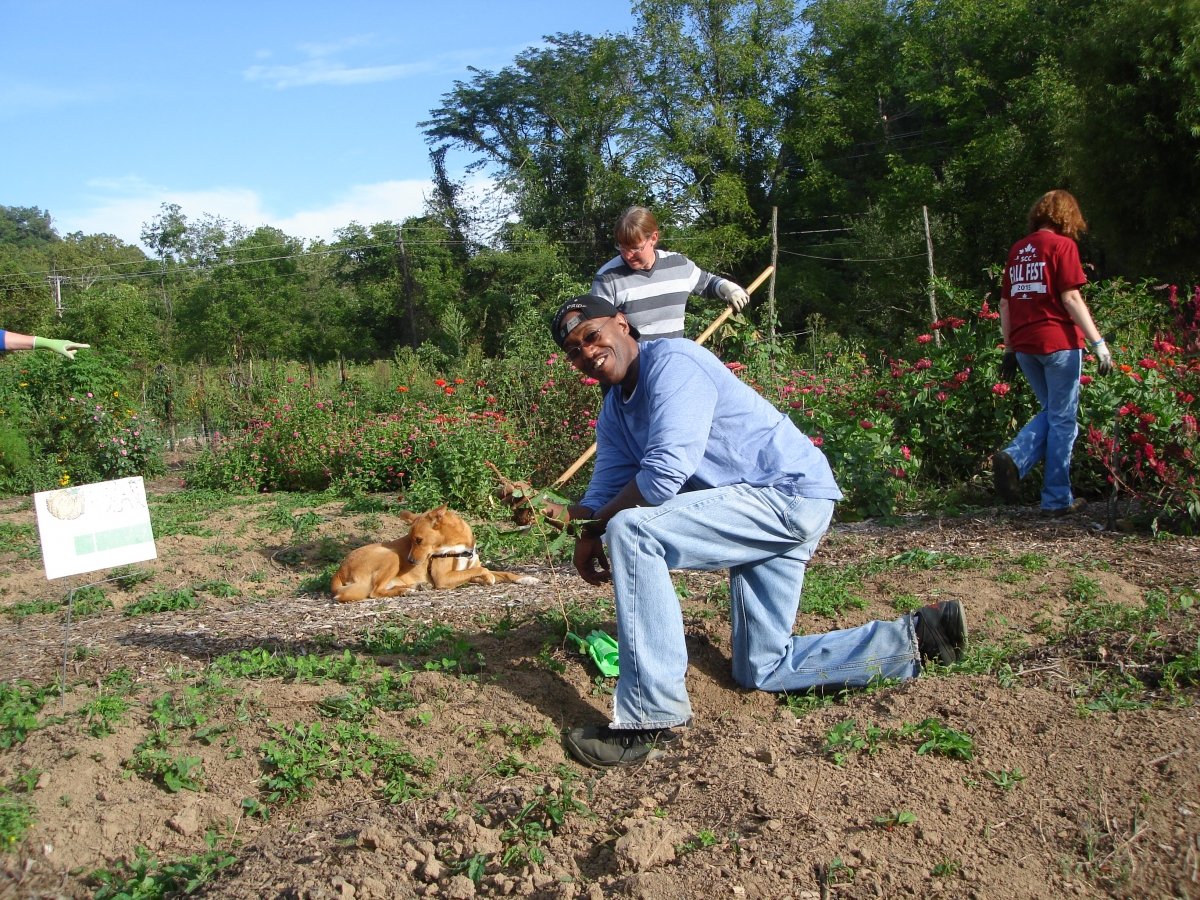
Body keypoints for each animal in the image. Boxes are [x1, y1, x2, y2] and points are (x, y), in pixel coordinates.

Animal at [328, 504, 535, 602]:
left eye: (418, 540)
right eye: (410, 539)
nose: (410, 561)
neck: (460, 546)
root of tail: (339, 570)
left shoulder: (467, 569)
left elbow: (502, 572)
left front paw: (526, 578)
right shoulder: (443, 578)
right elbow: (484, 570)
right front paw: (488, 578)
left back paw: (415, 587)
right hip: (391, 556)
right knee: (374, 592)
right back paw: (406, 590)